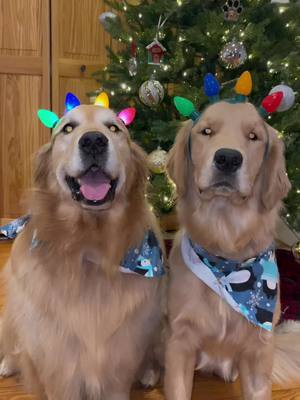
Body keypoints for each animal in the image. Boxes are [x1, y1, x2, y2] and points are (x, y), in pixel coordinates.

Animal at [0, 97, 164, 400]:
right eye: (67, 128)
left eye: (114, 128)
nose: (93, 141)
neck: (88, 246)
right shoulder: (59, 370)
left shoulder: (118, 369)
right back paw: (7, 362)